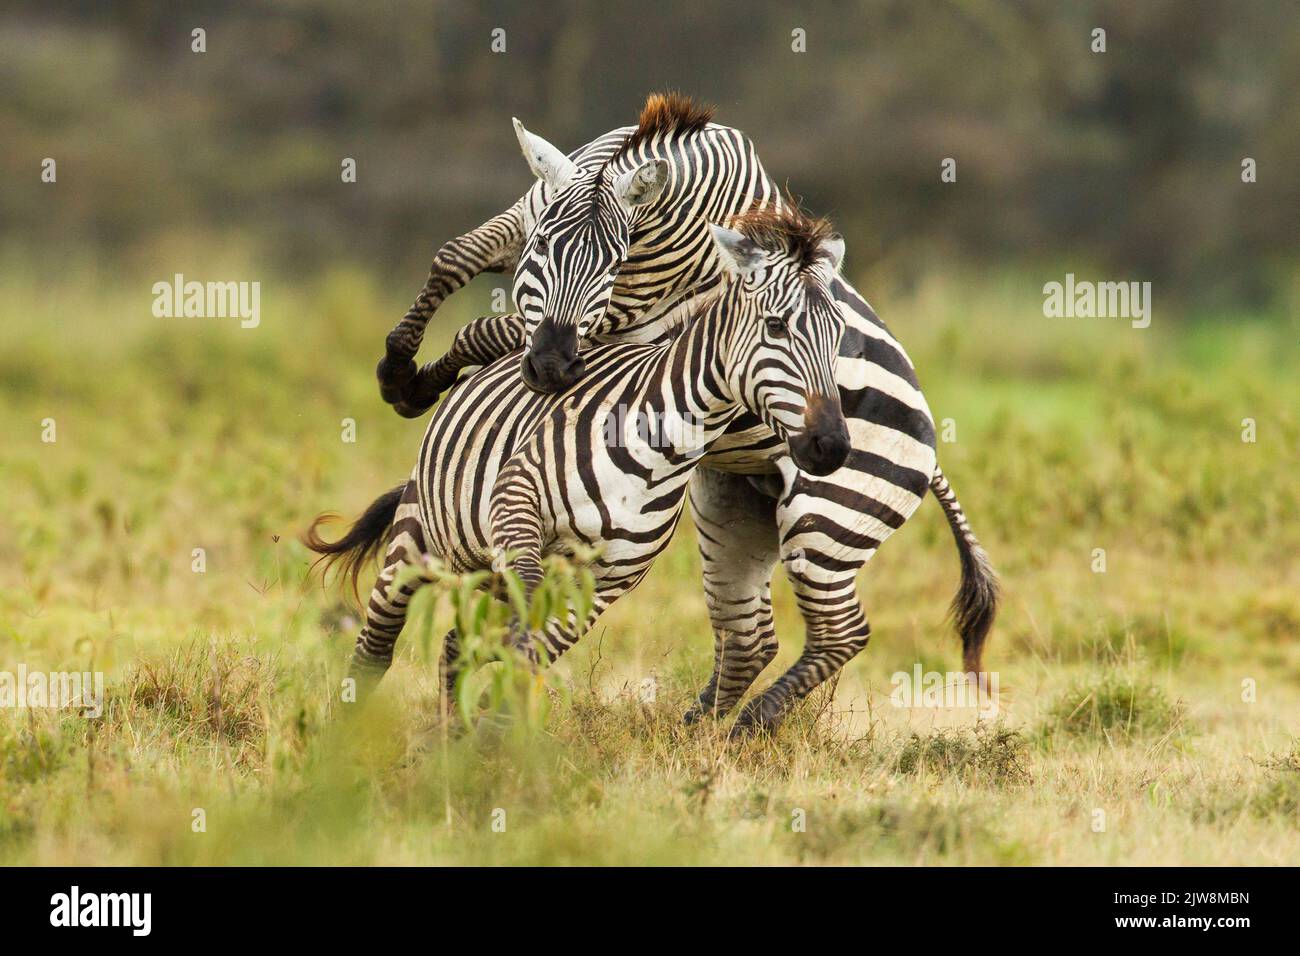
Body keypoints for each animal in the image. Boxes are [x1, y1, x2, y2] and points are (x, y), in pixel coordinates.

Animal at [308, 208, 851, 735]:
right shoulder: (517, 501)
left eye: (839, 338)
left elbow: (535, 649)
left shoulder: (608, 581)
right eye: (777, 327)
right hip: (418, 534)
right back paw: (344, 737)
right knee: (377, 645)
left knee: (452, 649)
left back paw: (450, 735)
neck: (662, 446)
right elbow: (526, 611)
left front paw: (493, 725)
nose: (830, 447)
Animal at [374, 93, 998, 731]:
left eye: (613, 260)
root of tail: (929, 440)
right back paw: (695, 733)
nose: (550, 369)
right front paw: (404, 371)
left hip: (826, 522)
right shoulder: (529, 216)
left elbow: (485, 328)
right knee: (751, 638)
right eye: (546, 246)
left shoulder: (632, 329)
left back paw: (744, 726)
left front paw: (424, 380)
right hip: (735, 508)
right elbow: (454, 257)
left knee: (837, 633)